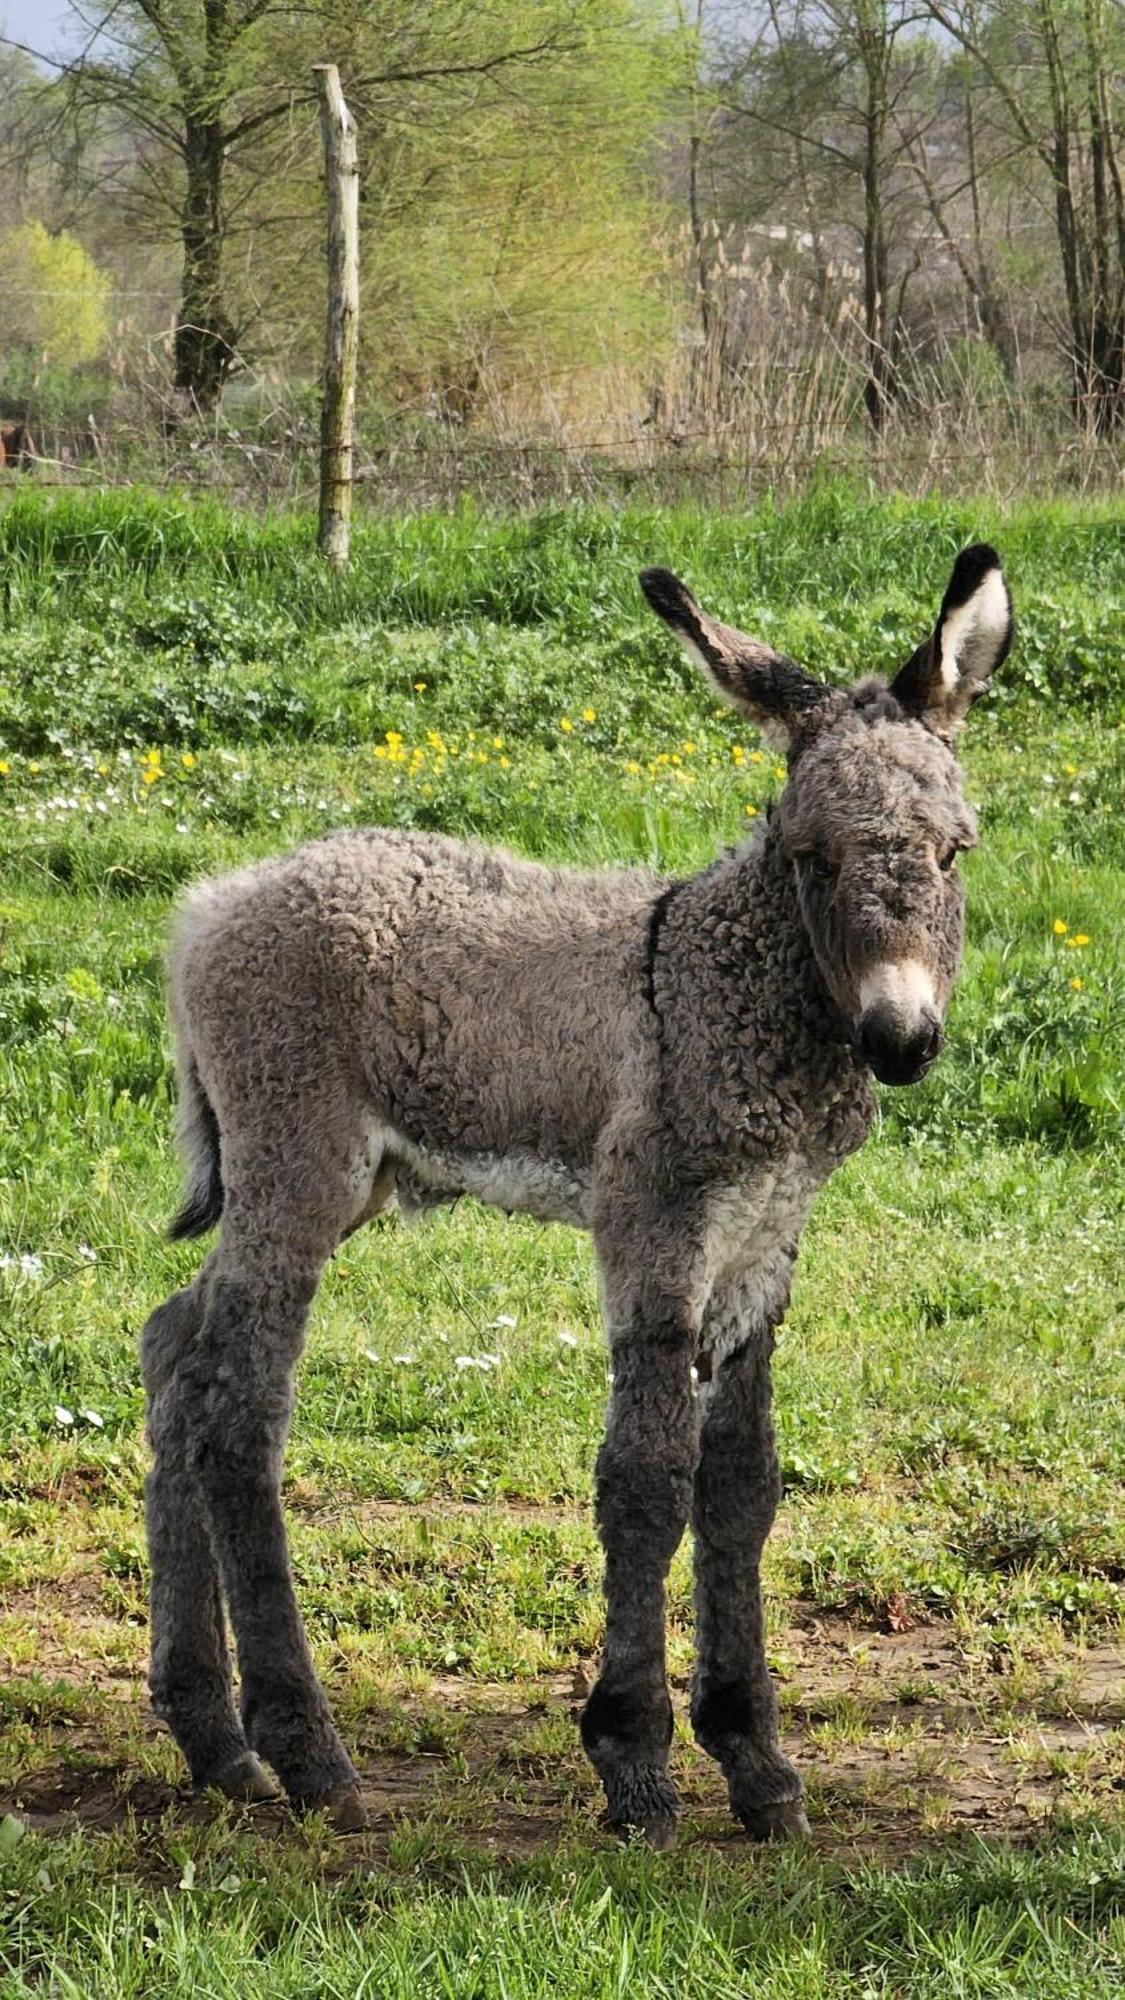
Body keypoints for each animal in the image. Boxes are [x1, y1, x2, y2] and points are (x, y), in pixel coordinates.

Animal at [140, 544, 1008, 1840]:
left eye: (952, 852)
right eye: (813, 855)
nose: (900, 1040)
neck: (719, 974)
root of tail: (211, 903)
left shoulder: (765, 1237)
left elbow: (744, 1484)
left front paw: (757, 1760)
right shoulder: (654, 1216)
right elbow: (647, 1478)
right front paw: (636, 1760)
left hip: (316, 1184)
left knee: (175, 1348)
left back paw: (212, 1735)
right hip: (298, 1168)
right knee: (239, 1418)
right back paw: (308, 1754)